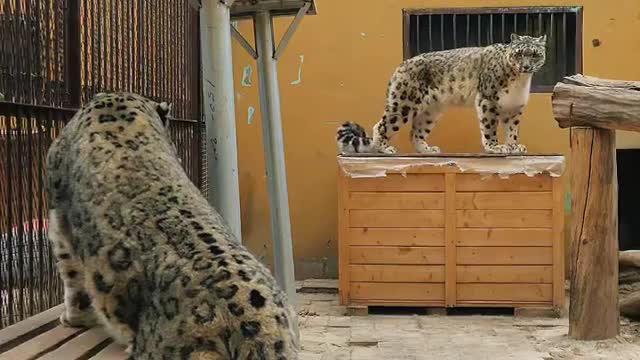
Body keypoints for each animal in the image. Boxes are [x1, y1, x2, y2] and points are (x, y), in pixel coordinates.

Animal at [338, 34, 548, 156]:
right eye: (519, 53)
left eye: (535, 54)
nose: (526, 66)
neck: (520, 81)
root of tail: (401, 65)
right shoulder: (488, 101)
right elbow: (489, 128)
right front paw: (495, 147)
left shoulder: (515, 108)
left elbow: (512, 130)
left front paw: (514, 147)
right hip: (404, 104)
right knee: (382, 125)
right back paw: (384, 148)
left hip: (430, 112)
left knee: (416, 132)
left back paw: (427, 150)